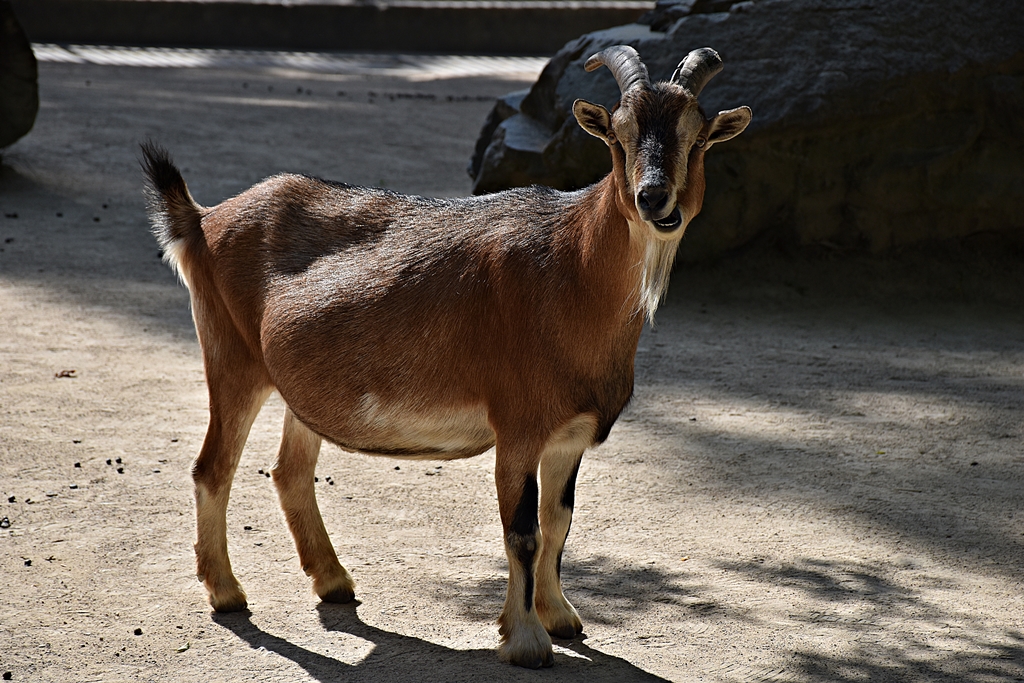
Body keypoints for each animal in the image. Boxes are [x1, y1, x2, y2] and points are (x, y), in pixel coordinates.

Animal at [142, 45, 751, 668]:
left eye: (698, 137)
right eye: (619, 136)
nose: (654, 199)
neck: (572, 270)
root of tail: (202, 220)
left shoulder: (568, 436)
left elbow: (559, 523)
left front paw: (561, 618)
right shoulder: (517, 427)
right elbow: (523, 531)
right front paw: (525, 640)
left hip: (298, 389)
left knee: (290, 471)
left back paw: (334, 582)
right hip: (232, 360)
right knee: (212, 468)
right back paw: (226, 592)